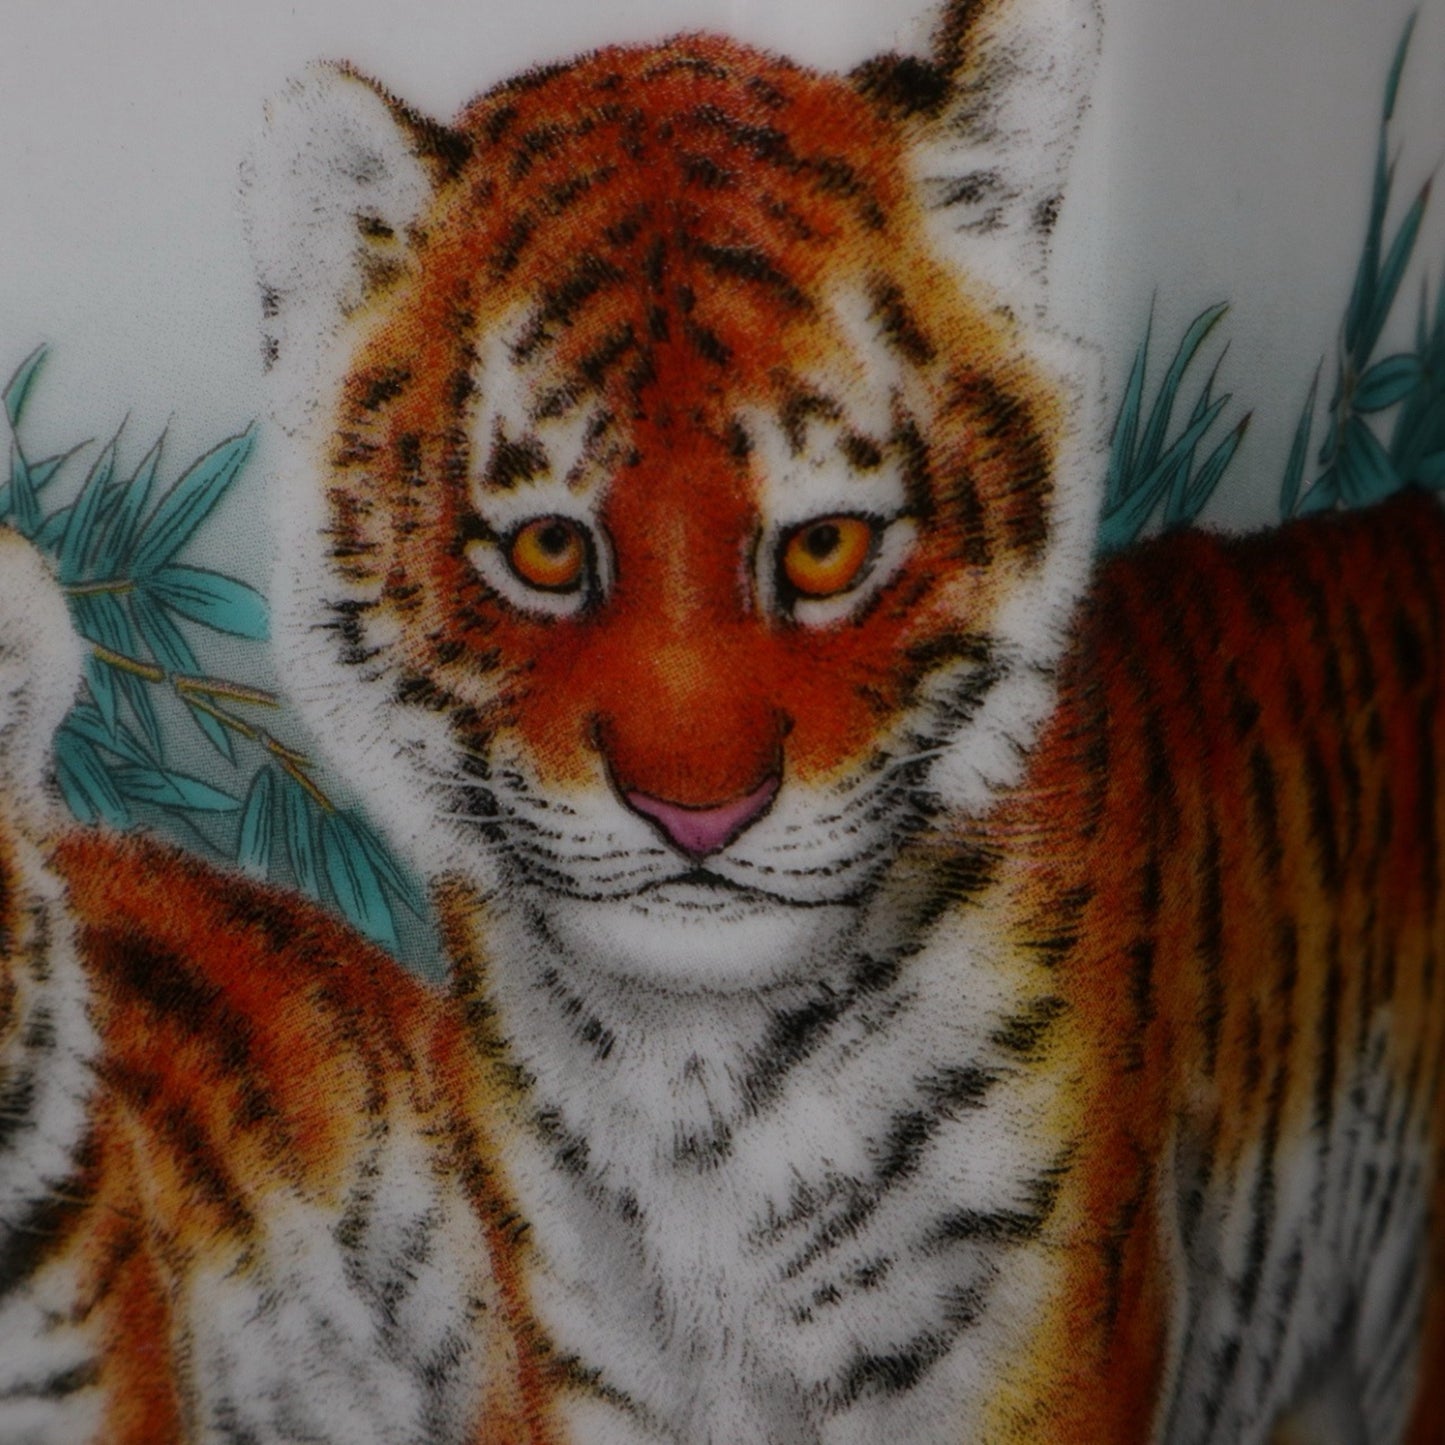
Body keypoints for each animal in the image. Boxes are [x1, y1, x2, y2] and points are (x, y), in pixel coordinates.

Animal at [1, 0, 1443, 1441]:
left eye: (823, 546)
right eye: (546, 548)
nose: (697, 809)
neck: (691, 1100)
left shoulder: (1026, 1349)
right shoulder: (580, 1342)